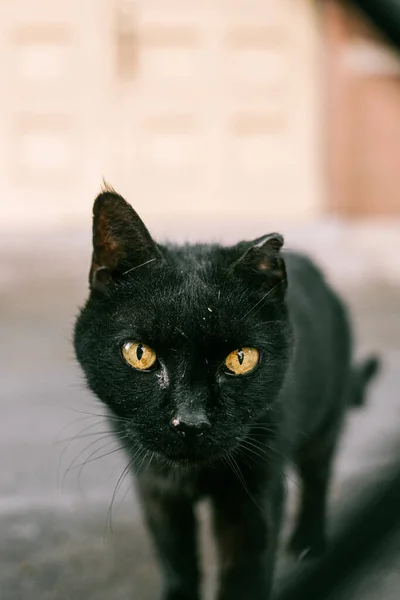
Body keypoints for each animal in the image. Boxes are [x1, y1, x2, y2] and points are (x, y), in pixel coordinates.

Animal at [74, 189, 378, 600]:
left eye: (240, 358)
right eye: (139, 353)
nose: (190, 421)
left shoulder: (253, 492)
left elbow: (243, 573)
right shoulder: (156, 487)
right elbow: (176, 557)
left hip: (324, 421)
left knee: (317, 477)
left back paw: (309, 542)